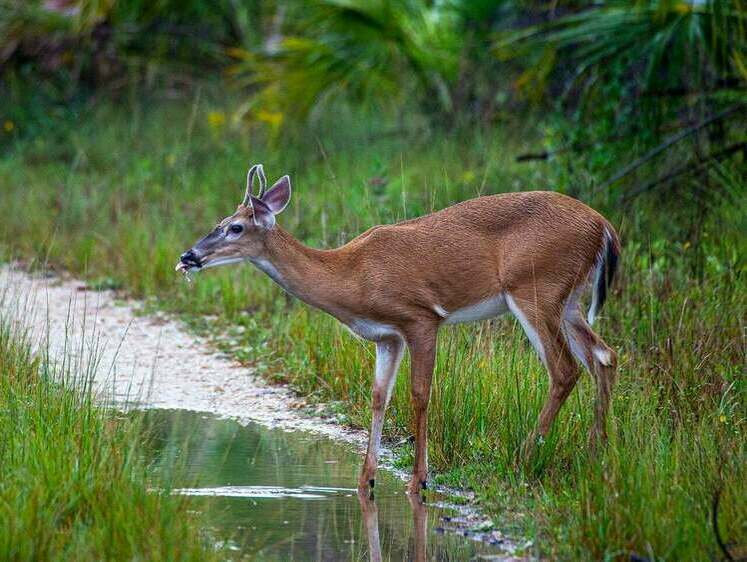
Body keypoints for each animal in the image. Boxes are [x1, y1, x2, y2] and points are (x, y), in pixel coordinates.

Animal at [178, 163, 624, 494]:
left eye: (235, 227)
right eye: (221, 221)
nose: (188, 256)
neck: (353, 276)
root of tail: (603, 226)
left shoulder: (420, 316)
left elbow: (419, 393)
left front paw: (418, 480)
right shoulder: (387, 336)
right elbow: (379, 396)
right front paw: (366, 480)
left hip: (535, 287)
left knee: (564, 368)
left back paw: (525, 457)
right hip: (569, 299)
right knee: (604, 355)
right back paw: (596, 453)